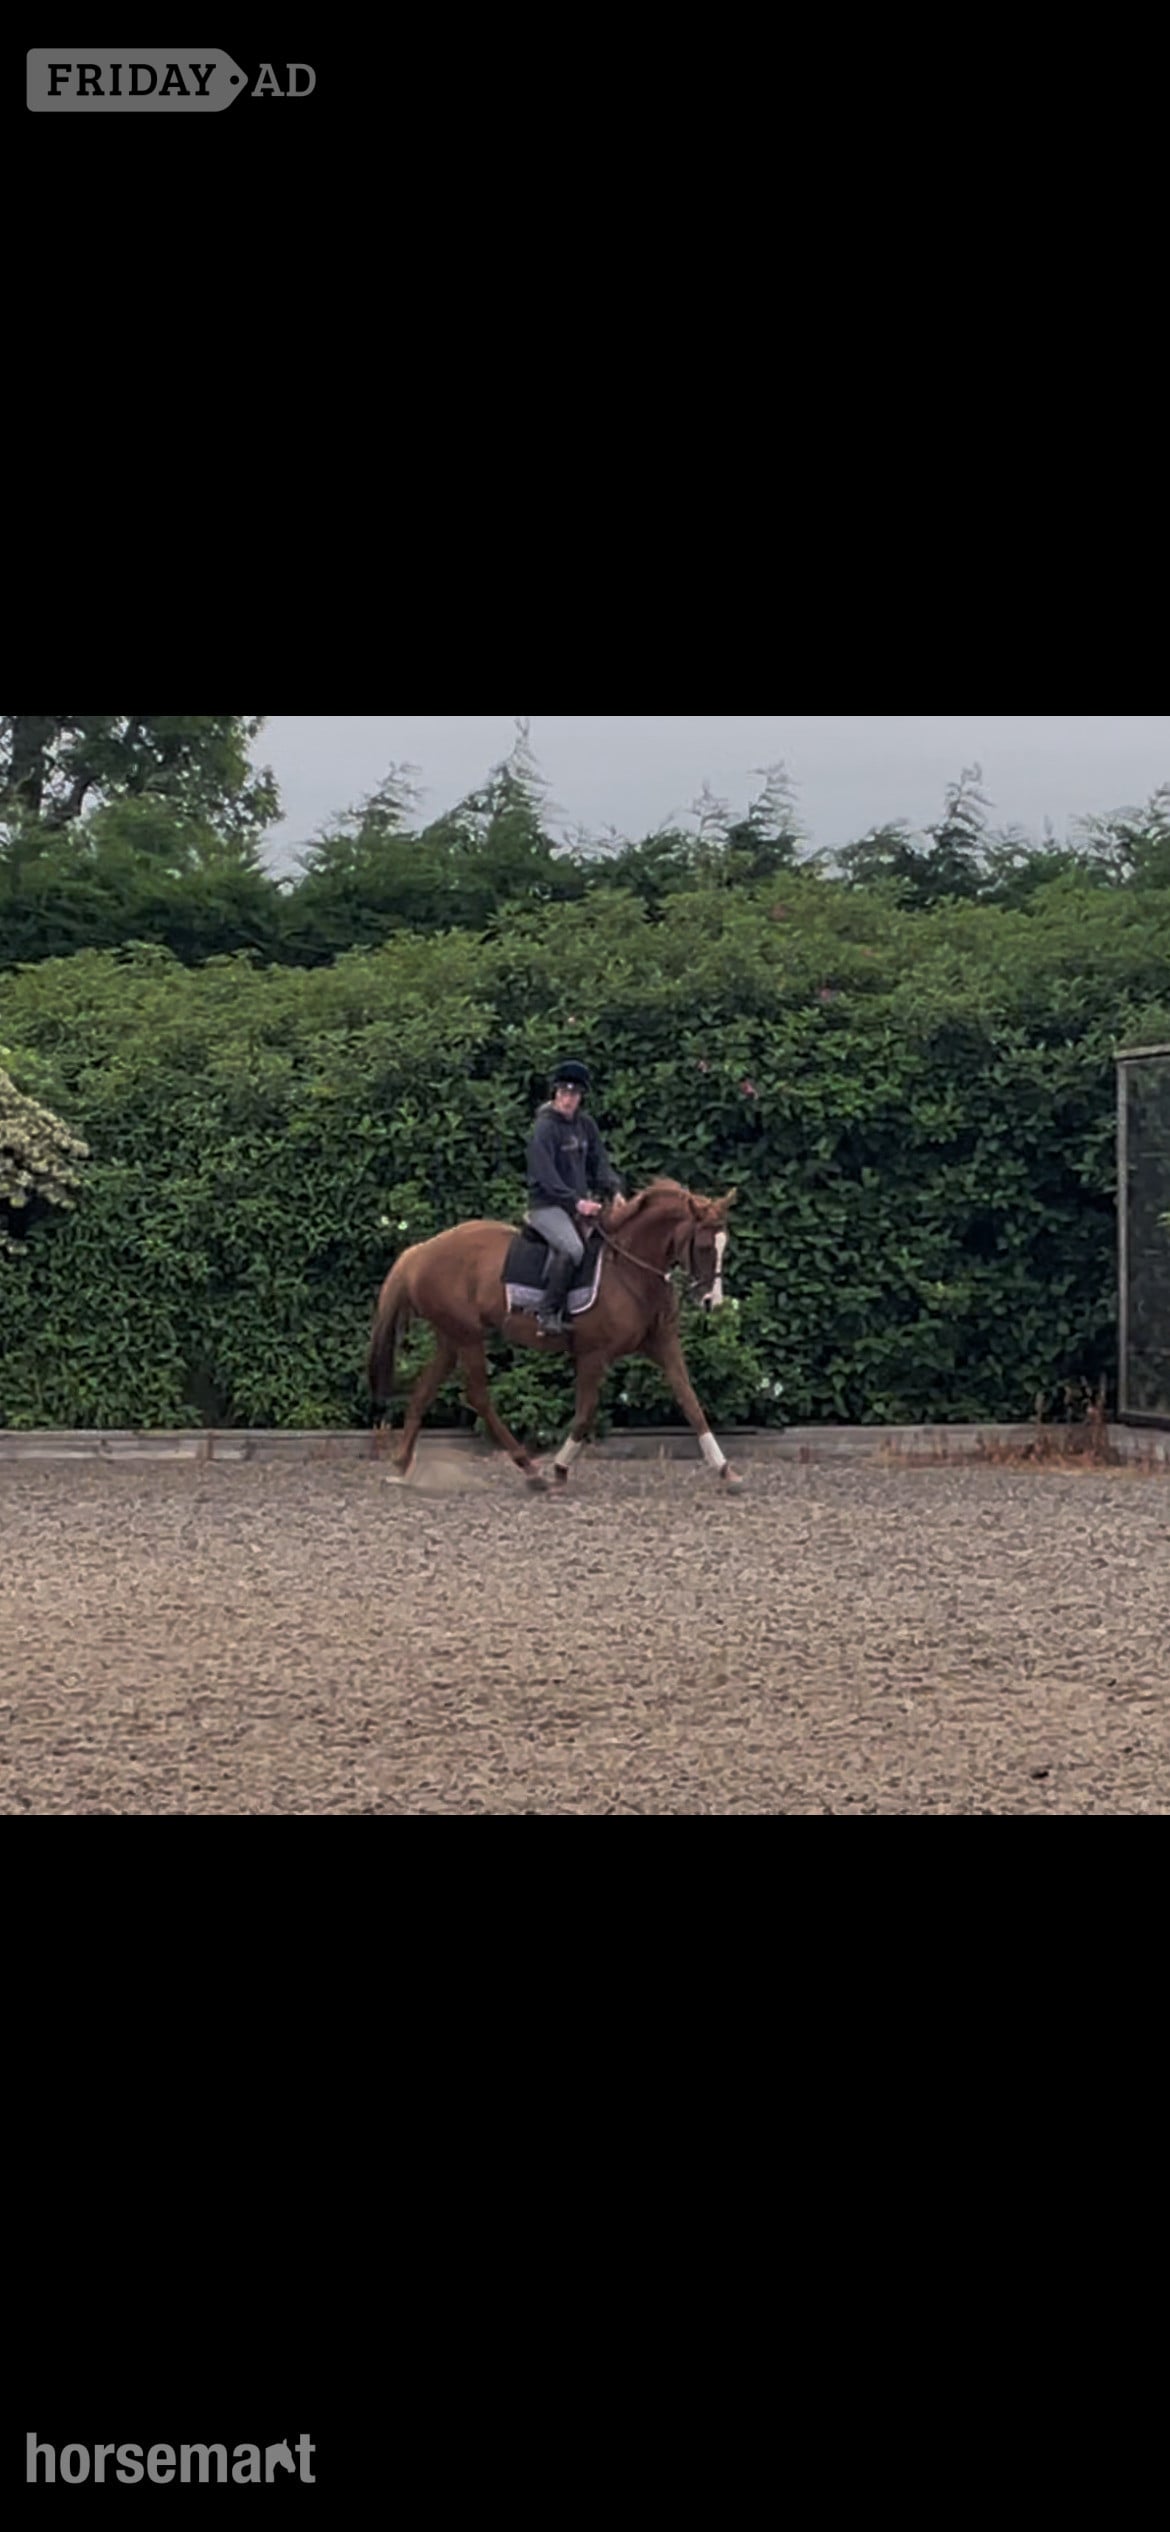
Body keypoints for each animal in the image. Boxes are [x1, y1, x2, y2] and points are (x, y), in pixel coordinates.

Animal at [367, 1178, 743, 1493]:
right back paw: (529, 1469)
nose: (711, 1302)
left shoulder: (663, 1346)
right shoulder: (593, 1355)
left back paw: (402, 1468)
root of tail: (419, 1252)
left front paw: (726, 1470)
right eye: (705, 1246)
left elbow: (690, 1401)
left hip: (450, 1338)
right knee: (478, 1396)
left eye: (725, 1246)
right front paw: (560, 1468)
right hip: (468, 1336)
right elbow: (586, 1412)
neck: (630, 1269)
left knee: (423, 1392)